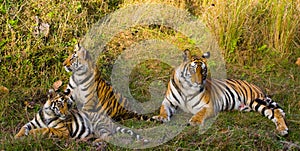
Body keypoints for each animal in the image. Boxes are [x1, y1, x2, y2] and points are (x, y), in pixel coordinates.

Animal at [14, 89, 147, 145]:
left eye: (68, 105)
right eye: (60, 104)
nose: (66, 114)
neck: (49, 113)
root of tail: (111, 122)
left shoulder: (63, 131)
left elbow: (47, 129)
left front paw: (32, 133)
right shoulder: (32, 123)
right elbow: (23, 127)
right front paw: (16, 137)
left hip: (99, 125)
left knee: (110, 136)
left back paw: (96, 142)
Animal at [152, 49, 288, 136]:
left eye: (203, 70)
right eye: (193, 69)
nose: (199, 83)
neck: (187, 88)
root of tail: (255, 86)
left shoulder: (209, 106)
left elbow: (200, 113)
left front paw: (194, 121)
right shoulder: (168, 101)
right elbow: (164, 109)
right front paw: (161, 117)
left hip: (254, 101)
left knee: (275, 112)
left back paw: (283, 130)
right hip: (249, 106)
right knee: (273, 111)